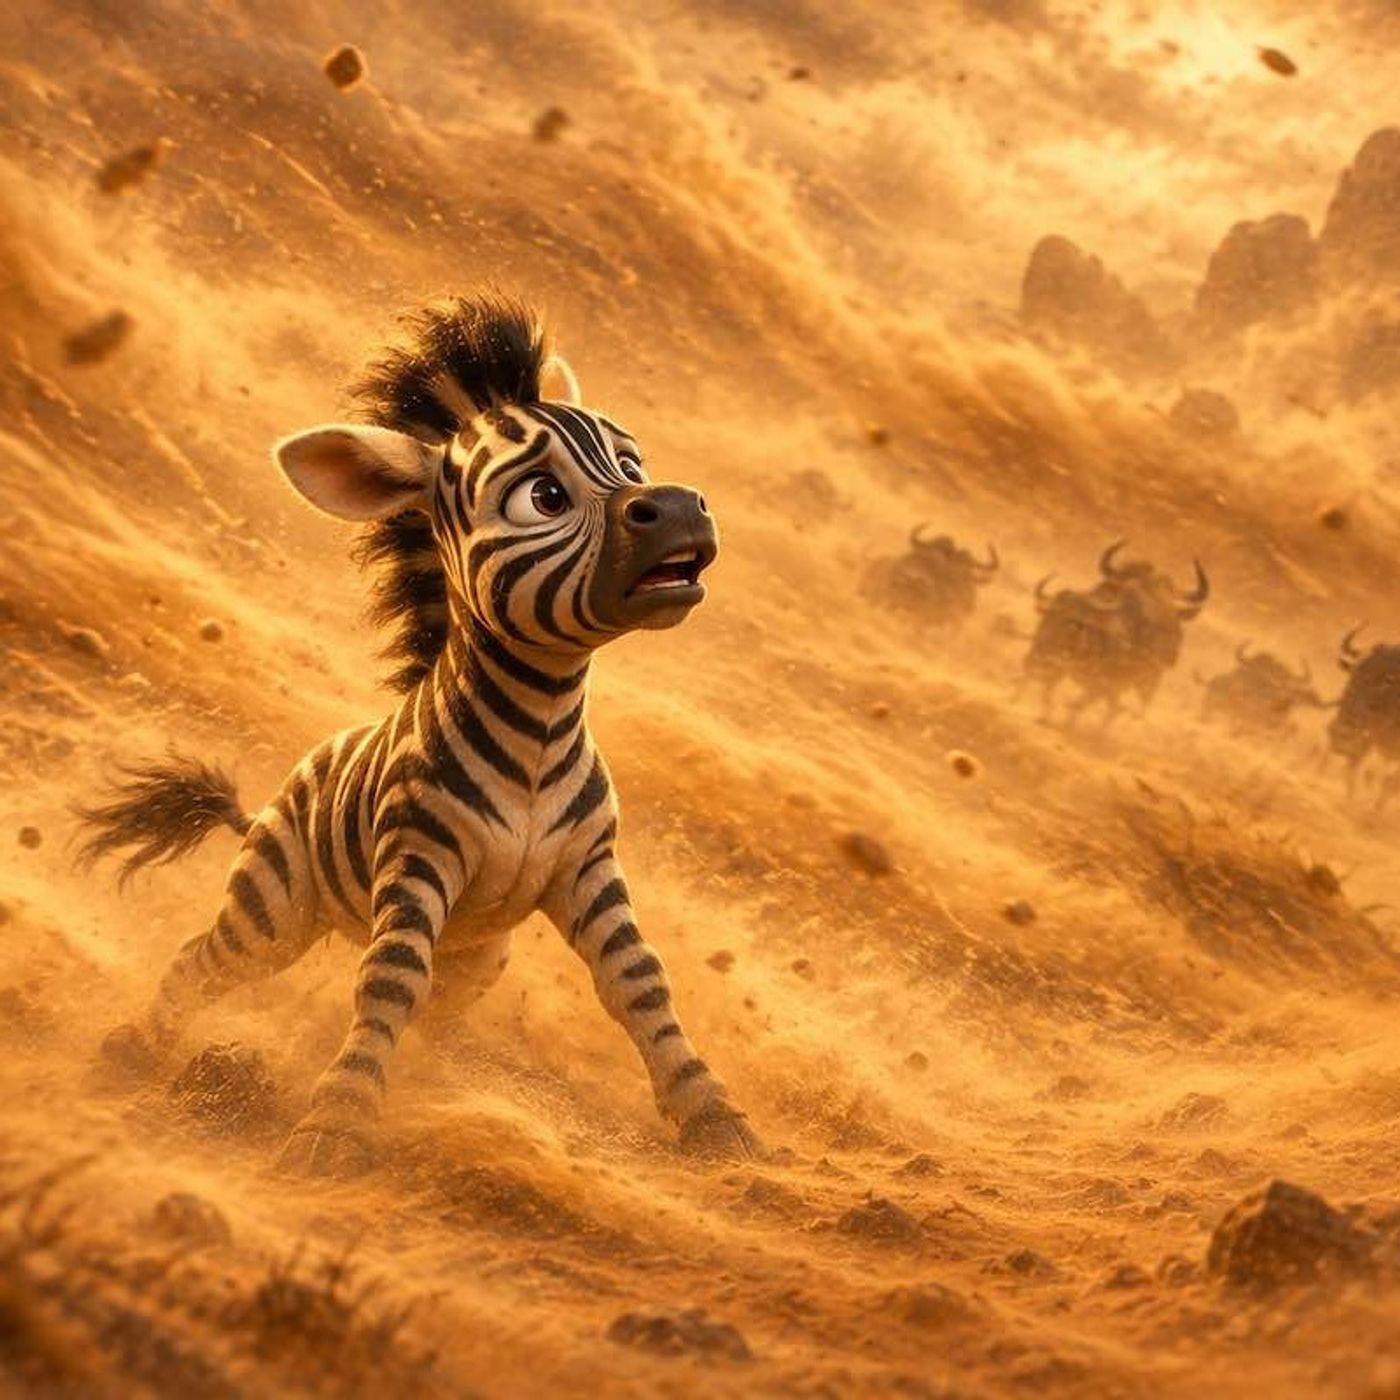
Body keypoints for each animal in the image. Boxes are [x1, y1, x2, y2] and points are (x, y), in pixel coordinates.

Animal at [79, 294, 760, 1174]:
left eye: (631, 465)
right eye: (542, 496)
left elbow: (640, 984)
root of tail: (271, 796)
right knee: (206, 958)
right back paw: (136, 1047)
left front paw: (714, 1120)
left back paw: (428, 1084)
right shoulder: (417, 858)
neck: (540, 730)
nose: (680, 506)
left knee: (437, 1006)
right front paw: (332, 1129)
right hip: (275, 908)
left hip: (478, 953)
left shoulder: (588, 867)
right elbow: (389, 983)